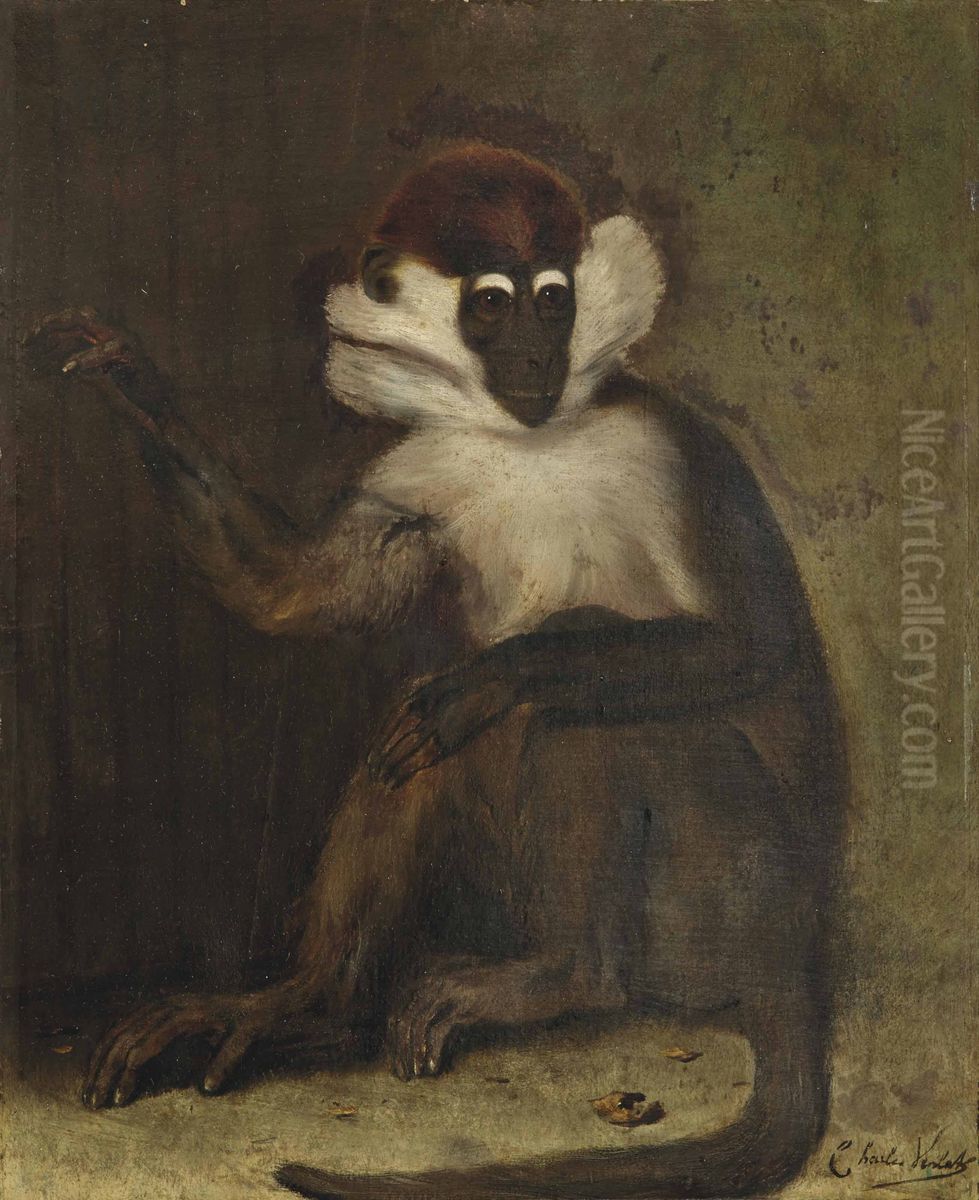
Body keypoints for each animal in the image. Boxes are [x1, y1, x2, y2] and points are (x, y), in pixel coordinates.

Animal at [26, 144, 846, 1199]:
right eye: (493, 306)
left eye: (553, 301)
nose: (536, 356)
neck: (527, 438)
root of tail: (796, 954)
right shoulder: (418, 466)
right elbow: (299, 594)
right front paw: (132, 381)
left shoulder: (670, 440)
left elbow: (751, 646)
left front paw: (486, 679)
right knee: (417, 746)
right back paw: (312, 1001)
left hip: (728, 894)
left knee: (571, 708)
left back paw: (567, 971)